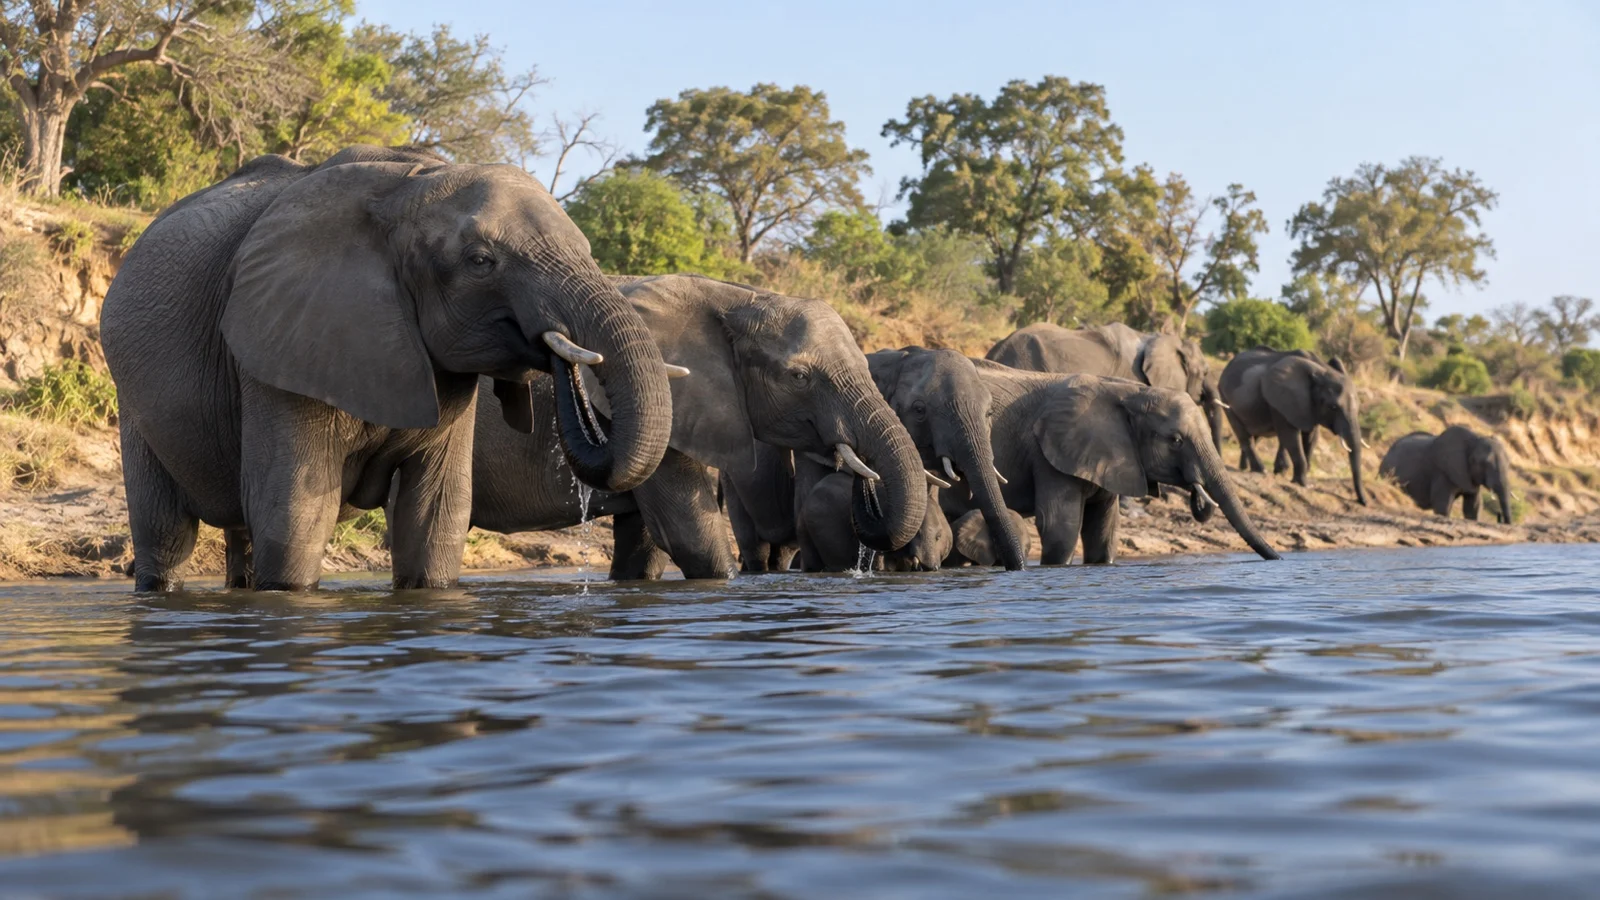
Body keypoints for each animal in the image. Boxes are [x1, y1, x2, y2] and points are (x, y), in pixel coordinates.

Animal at [101, 146, 674, 591]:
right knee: (167, 533)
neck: (408, 185)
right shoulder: (279, 344)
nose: (561, 351)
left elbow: (435, 514)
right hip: (131, 397)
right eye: (480, 261)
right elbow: (295, 513)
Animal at [946, 357, 1279, 565]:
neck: (1130, 393)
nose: (1278, 559)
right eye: (1175, 441)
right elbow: (1060, 528)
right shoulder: (1048, 455)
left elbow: (1103, 531)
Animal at [1218, 347, 1368, 505]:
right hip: (1225, 397)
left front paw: (1294, 475)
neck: (1321, 370)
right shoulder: (1281, 400)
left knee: (1255, 436)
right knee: (1244, 436)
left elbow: (1311, 438)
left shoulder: (1309, 406)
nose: (1363, 502)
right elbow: (1290, 436)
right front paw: (1304, 484)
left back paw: (1245, 468)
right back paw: (1260, 470)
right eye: (1333, 407)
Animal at [1380, 426, 1514, 523]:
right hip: (1386, 471)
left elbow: (1472, 508)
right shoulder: (1442, 472)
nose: (1499, 516)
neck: (1474, 440)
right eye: (1485, 463)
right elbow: (1443, 505)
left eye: (1509, 463)